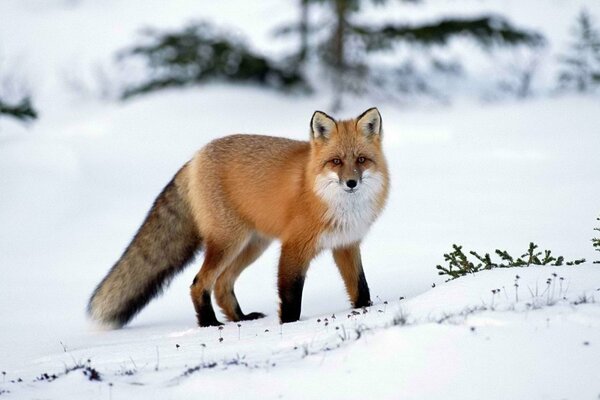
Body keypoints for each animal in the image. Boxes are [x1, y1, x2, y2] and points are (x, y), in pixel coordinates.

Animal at [88, 108, 390, 326]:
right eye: (336, 161)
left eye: (361, 160)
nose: (351, 183)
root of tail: (195, 157)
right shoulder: (294, 247)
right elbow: (290, 296)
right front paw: (290, 326)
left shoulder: (346, 244)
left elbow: (360, 287)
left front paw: (365, 310)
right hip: (228, 242)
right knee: (200, 283)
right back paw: (209, 324)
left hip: (253, 245)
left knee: (222, 284)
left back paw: (240, 318)